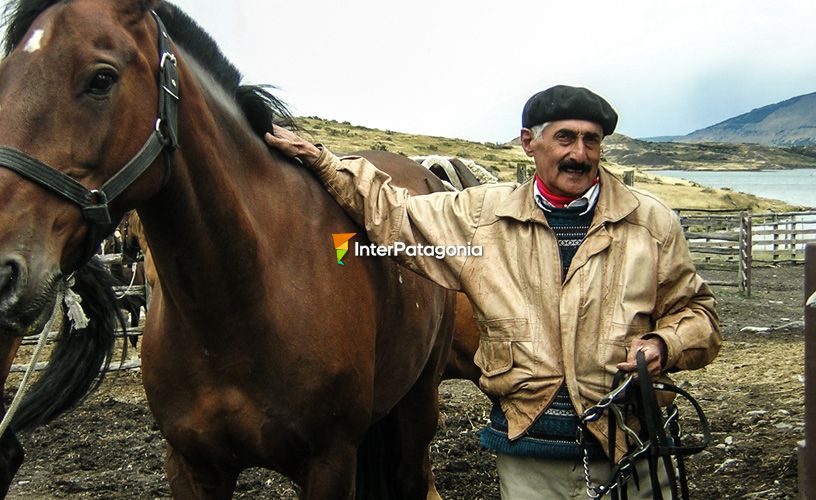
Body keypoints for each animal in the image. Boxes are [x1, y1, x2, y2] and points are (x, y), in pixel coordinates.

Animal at [0, 1, 456, 498]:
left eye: (101, 78)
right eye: (4, 75)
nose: (3, 271)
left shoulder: (330, 463)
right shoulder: (191, 466)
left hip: (419, 400)